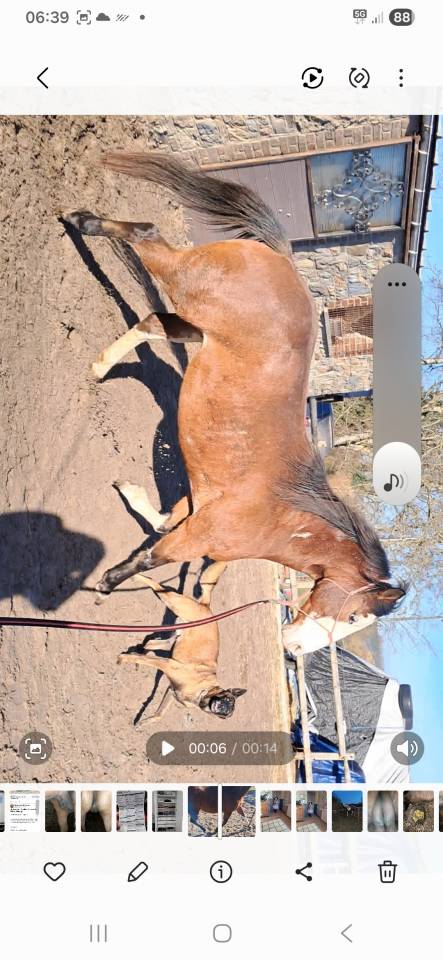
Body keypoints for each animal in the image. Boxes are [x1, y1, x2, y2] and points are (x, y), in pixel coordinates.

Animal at [66, 153, 406, 652]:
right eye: (354, 615)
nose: (294, 647)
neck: (280, 515)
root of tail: (280, 257)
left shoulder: (194, 511)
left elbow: (159, 523)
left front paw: (128, 493)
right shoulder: (194, 536)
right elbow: (150, 559)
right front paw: (105, 584)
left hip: (194, 326)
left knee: (150, 324)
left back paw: (99, 367)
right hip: (185, 283)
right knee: (146, 234)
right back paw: (80, 222)